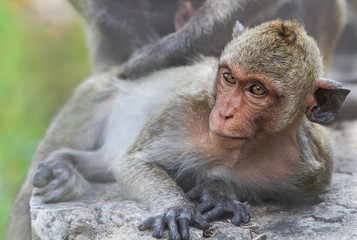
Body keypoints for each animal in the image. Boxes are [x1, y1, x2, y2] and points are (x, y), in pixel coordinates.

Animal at [7, 19, 348, 240]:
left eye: (257, 90)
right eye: (229, 78)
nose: (225, 113)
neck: (243, 148)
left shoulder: (313, 164)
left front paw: (219, 192)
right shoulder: (180, 108)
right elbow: (134, 164)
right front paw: (175, 207)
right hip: (91, 99)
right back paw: (61, 167)